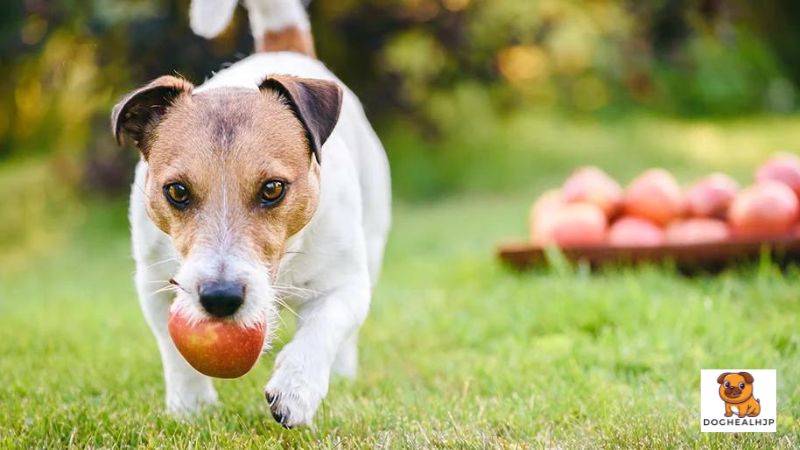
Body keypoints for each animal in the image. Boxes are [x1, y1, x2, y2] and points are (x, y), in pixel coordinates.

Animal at [111, 0, 392, 428]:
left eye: (273, 189)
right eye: (177, 191)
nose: (220, 297)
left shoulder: (345, 283)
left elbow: (324, 328)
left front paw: (296, 388)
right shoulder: (154, 283)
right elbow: (175, 352)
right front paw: (191, 408)